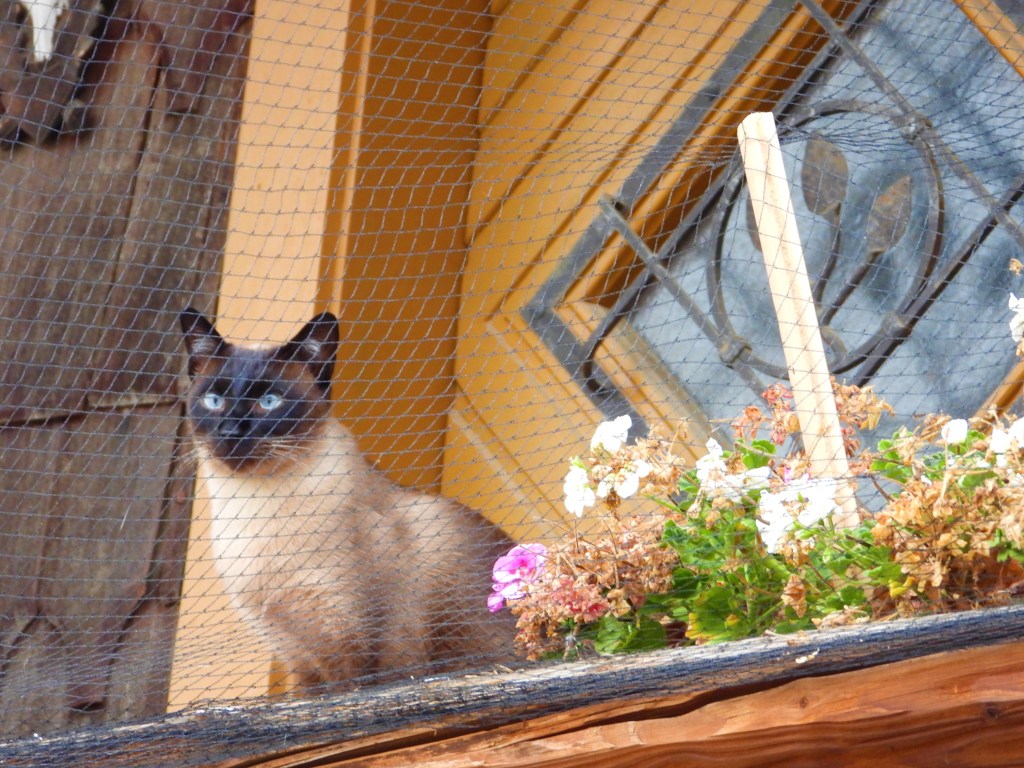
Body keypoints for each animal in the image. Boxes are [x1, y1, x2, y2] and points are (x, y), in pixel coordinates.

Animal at [178, 307, 517, 689]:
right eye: (214, 401)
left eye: (269, 402)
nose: (230, 432)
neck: (253, 509)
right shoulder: (296, 656)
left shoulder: (350, 645)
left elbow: (351, 687)